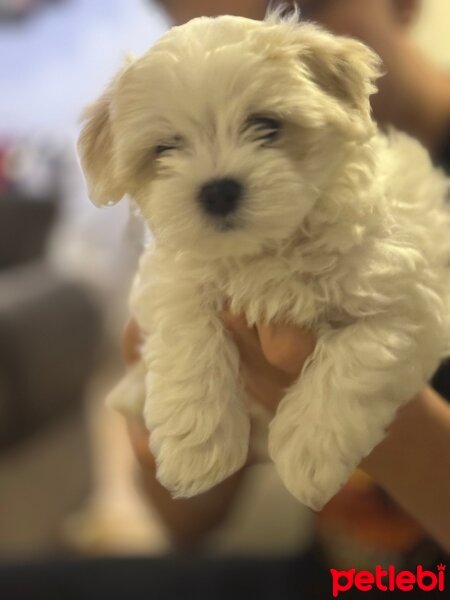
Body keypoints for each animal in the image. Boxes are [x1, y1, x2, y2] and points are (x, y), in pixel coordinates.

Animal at [77, 10, 450, 510]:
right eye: (166, 147)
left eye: (266, 125)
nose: (217, 190)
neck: (267, 249)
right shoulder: (174, 282)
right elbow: (187, 331)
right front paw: (197, 452)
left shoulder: (409, 300)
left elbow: (355, 362)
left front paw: (309, 453)